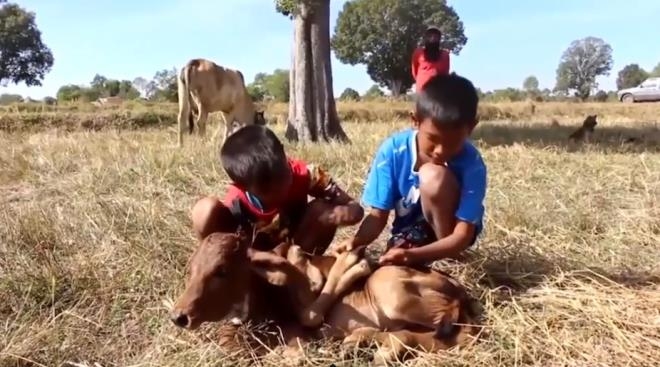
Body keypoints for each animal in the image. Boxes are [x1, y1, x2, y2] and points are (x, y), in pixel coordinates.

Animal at [170, 231, 480, 364]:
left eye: (222, 270)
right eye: (191, 269)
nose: (179, 316)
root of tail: (457, 287)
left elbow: (310, 312)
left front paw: (350, 264)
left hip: (391, 290)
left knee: (463, 334)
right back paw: (361, 344)